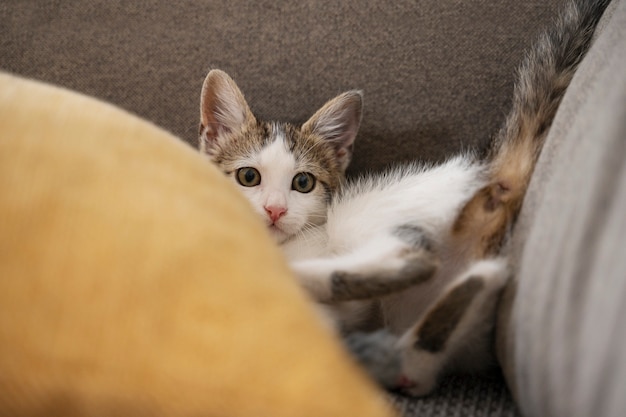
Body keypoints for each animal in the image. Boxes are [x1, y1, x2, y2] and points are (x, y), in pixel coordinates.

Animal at [199, 0, 608, 394]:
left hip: (367, 215)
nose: (275, 210)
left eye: (302, 183)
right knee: (418, 366)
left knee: (413, 255)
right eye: (248, 176)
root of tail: (487, 171)